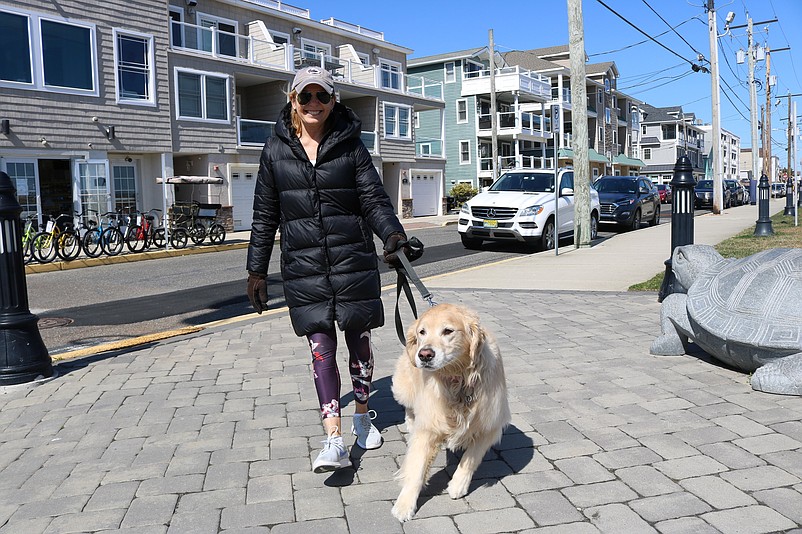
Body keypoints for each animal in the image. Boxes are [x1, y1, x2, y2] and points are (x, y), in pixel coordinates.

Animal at [390, 306, 512, 524]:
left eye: (448, 331)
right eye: (422, 332)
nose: (425, 354)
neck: (457, 378)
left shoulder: (490, 424)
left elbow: (471, 458)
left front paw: (458, 485)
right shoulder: (428, 426)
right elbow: (416, 469)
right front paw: (404, 505)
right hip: (404, 387)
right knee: (409, 407)